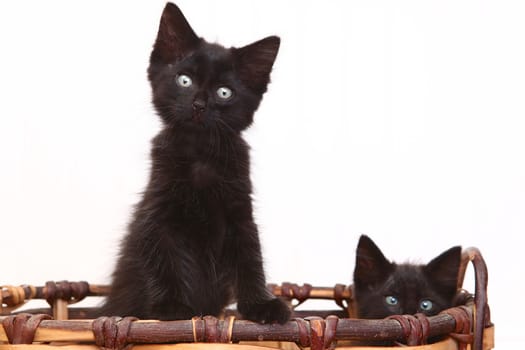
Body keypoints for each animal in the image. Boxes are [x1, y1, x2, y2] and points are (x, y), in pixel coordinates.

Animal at [100, 3, 288, 326]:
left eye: (224, 92)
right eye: (184, 80)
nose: (199, 105)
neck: (201, 155)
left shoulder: (240, 211)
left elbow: (251, 257)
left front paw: (262, 306)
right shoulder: (158, 210)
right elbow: (163, 258)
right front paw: (172, 307)